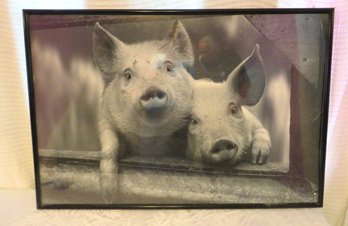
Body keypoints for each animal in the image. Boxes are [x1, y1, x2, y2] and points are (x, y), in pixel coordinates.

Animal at [92, 20, 194, 200]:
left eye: (168, 68)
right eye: (128, 75)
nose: (152, 89)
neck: (150, 137)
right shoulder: (105, 118)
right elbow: (110, 144)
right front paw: (108, 194)